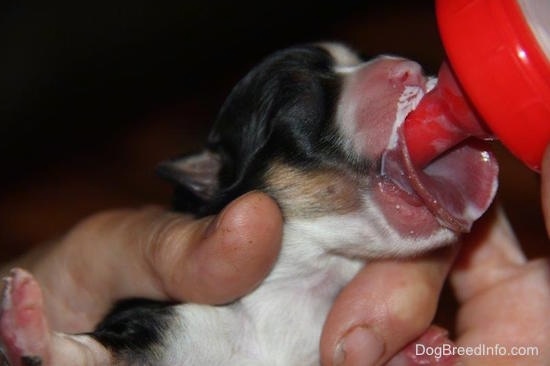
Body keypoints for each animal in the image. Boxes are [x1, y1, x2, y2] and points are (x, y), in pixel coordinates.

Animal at [0, 43, 500, 366]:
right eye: (302, 98)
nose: (407, 67)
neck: (304, 291)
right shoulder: (167, 325)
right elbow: (86, 353)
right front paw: (28, 328)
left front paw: (417, 353)